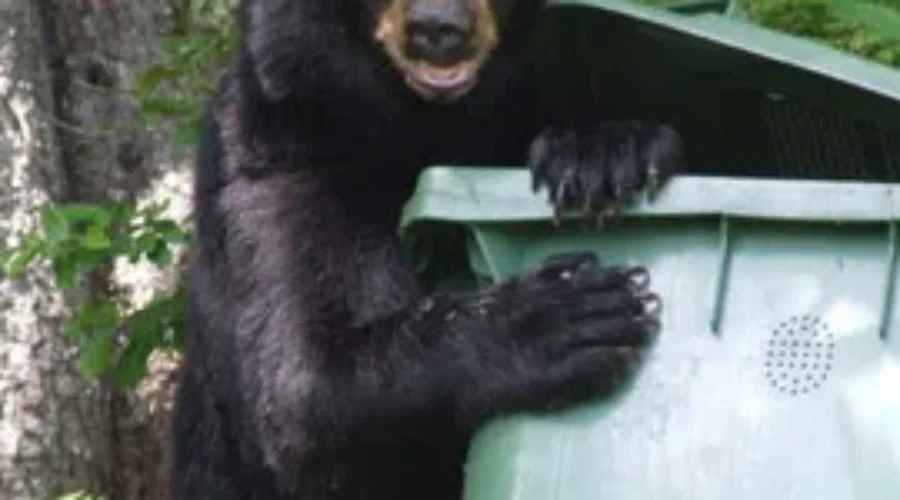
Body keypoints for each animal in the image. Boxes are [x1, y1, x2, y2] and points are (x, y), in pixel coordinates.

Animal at [170, 0, 683, 499]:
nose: (437, 27)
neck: (427, 124)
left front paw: (604, 153)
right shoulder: (279, 148)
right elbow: (303, 386)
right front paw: (565, 313)